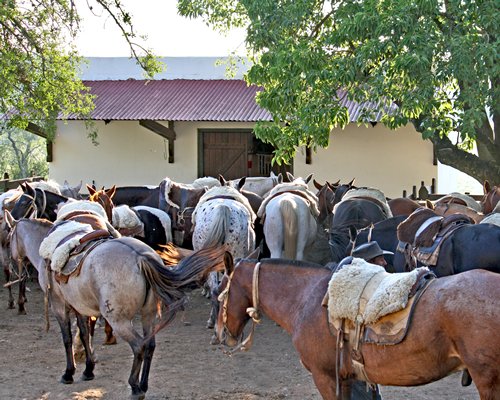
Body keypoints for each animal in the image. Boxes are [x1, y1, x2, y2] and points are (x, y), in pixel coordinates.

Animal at [6, 216, 226, 400]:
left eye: (8, 238)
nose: (10, 263)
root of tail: (141, 257)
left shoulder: (59, 305)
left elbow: (67, 339)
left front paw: (69, 373)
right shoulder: (80, 307)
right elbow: (84, 335)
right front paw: (88, 370)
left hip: (119, 320)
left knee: (139, 345)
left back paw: (135, 388)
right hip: (148, 315)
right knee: (150, 345)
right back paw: (143, 385)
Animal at [215, 255, 500, 398]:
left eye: (220, 291)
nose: (219, 333)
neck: (305, 298)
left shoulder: (325, 377)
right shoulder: (346, 379)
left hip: (488, 380)